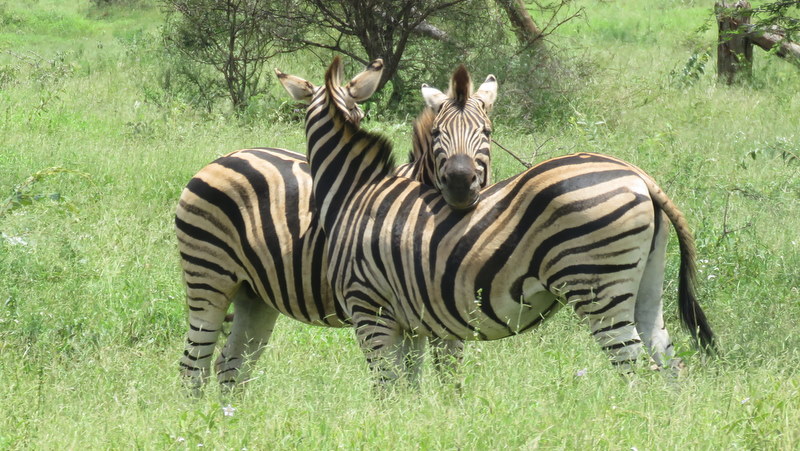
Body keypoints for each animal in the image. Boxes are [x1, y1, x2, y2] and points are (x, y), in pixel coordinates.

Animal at [176, 59, 498, 391]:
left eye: (487, 132)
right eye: (436, 133)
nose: (460, 185)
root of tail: (226, 157)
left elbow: (436, 380)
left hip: (254, 292)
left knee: (230, 362)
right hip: (208, 276)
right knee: (193, 365)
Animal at [279, 56, 716, 385]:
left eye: (487, 131)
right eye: (436, 133)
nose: (460, 185)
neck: (356, 191)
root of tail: (639, 175)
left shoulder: (371, 312)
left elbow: (387, 387)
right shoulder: (414, 321)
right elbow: (413, 388)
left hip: (597, 288)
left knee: (635, 370)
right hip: (645, 284)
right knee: (669, 365)